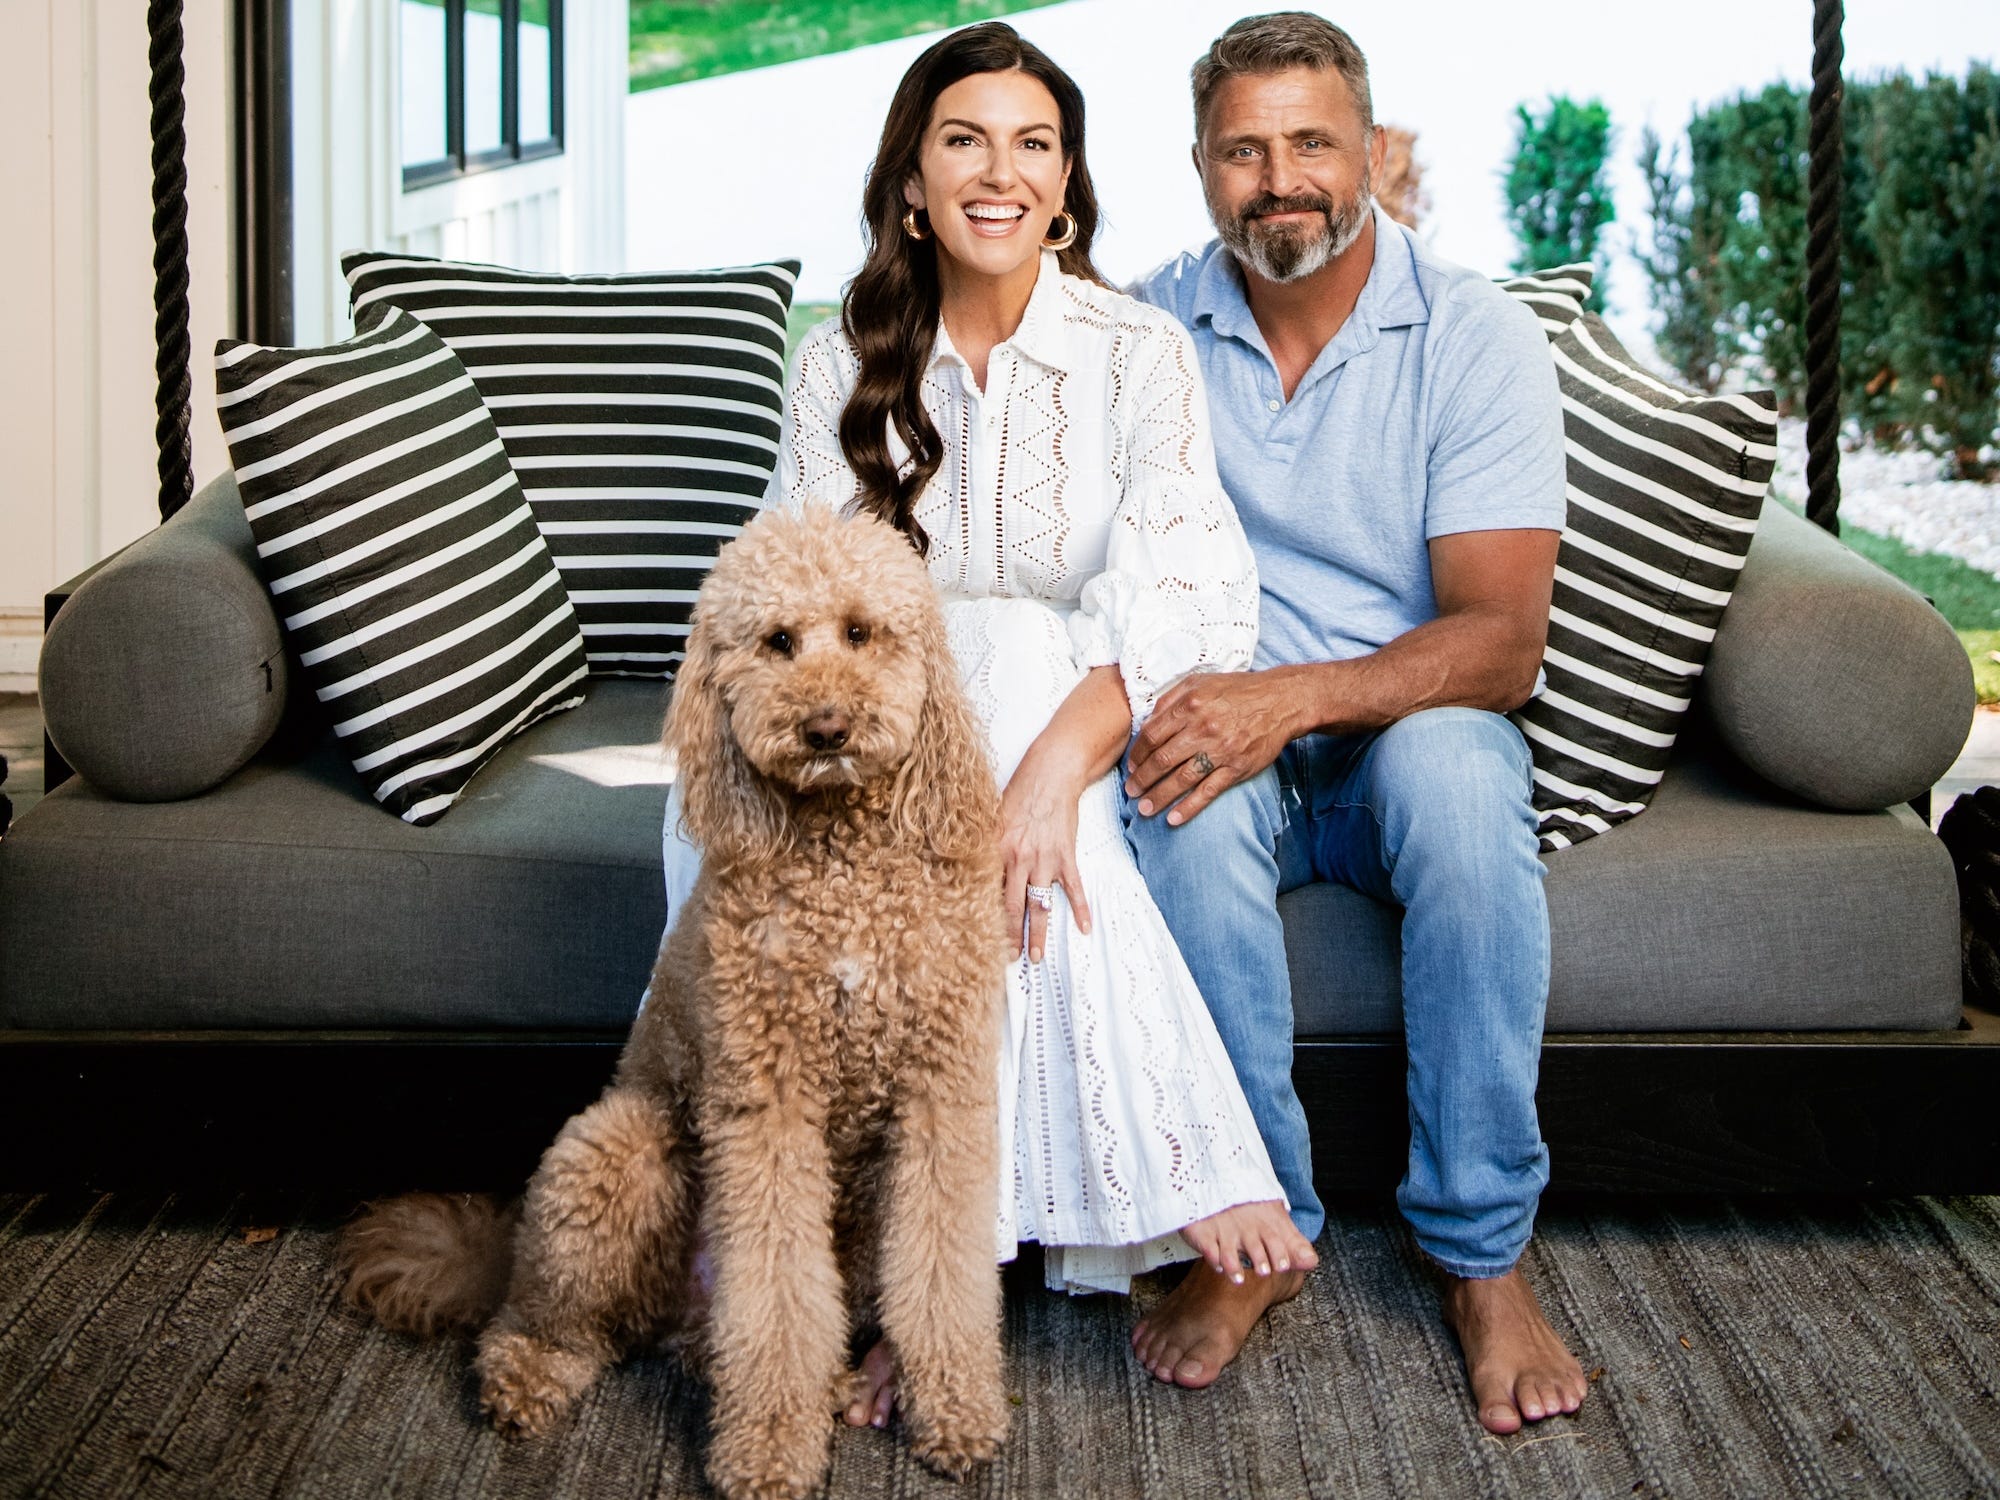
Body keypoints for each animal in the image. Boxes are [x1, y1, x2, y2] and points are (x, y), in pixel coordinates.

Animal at [338, 508, 1016, 1500]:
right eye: (778, 642)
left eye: (861, 632)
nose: (826, 726)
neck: (843, 863)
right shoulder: (769, 1106)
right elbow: (774, 1298)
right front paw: (767, 1450)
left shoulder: (941, 1095)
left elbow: (943, 1273)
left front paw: (957, 1411)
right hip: (613, 1151)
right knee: (550, 1319)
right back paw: (527, 1378)